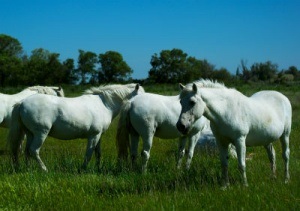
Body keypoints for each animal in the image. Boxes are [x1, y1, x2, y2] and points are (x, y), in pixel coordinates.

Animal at [7, 83, 144, 171]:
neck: (103, 104)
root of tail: (22, 103)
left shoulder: (99, 135)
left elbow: (98, 153)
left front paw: (99, 168)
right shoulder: (94, 135)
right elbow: (89, 153)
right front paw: (83, 169)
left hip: (30, 134)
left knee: (27, 151)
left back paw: (28, 169)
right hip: (41, 133)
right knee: (34, 150)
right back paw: (44, 169)